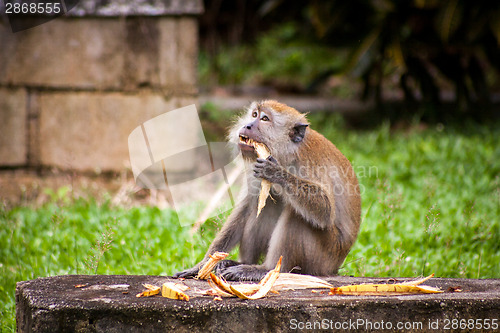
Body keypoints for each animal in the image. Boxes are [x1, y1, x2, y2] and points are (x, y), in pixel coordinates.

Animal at [174, 100, 362, 278]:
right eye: (254, 114)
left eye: (264, 119)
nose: (248, 125)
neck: (287, 154)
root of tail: (335, 267)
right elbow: (247, 206)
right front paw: (202, 265)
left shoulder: (309, 164)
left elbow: (325, 209)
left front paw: (276, 173)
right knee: (264, 206)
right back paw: (242, 263)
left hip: (323, 257)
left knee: (297, 214)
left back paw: (265, 269)